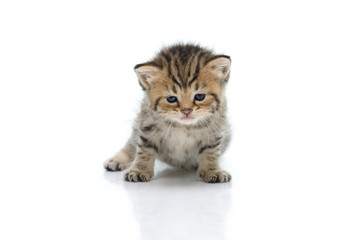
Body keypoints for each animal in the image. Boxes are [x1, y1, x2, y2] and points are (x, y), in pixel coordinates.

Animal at [104, 43, 232, 183]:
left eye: (199, 96)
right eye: (171, 99)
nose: (186, 111)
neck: (183, 126)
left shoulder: (215, 131)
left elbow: (211, 152)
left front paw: (212, 170)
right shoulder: (147, 125)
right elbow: (144, 150)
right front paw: (139, 170)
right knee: (132, 143)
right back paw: (118, 159)